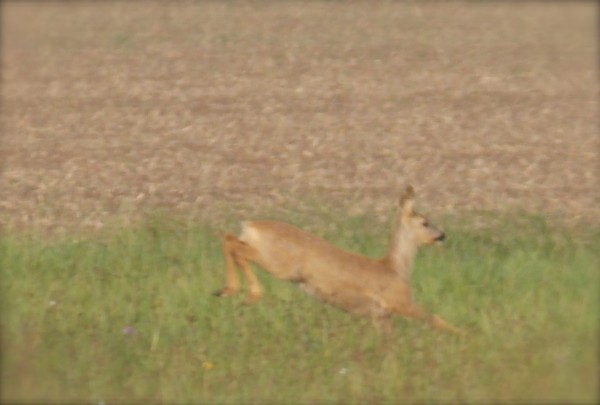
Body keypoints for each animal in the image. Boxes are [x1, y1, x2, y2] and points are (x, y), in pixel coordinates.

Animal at [216, 185, 464, 332]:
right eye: (425, 222)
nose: (443, 235)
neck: (395, 269)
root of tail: (250, 226)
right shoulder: (399, 302)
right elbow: (434, 318)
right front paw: (465, 335)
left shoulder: (380, 315)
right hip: (278, 262)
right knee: (235, 247)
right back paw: (250, 293)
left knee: (229, 239)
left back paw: (228, 291)